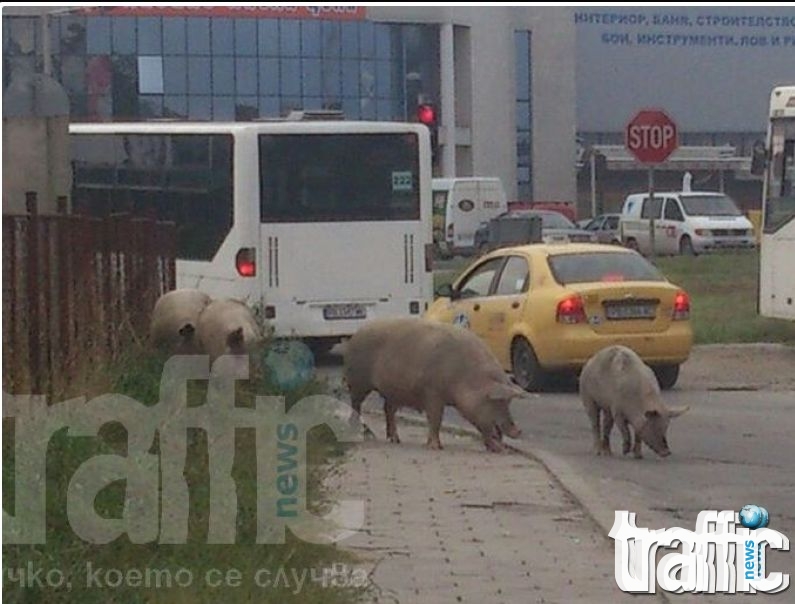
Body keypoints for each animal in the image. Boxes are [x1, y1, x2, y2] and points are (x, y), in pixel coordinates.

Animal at [340, 318, 524, 450]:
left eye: (508, 402)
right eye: (497, 401)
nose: (518, 431)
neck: (466, 377)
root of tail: (355, 335)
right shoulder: (432, 393)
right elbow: (436, 419)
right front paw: (436, 447)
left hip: (393, 391)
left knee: (387, 409)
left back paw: (396, 440)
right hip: (358, 381)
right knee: (356, 404)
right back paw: (363, 435)